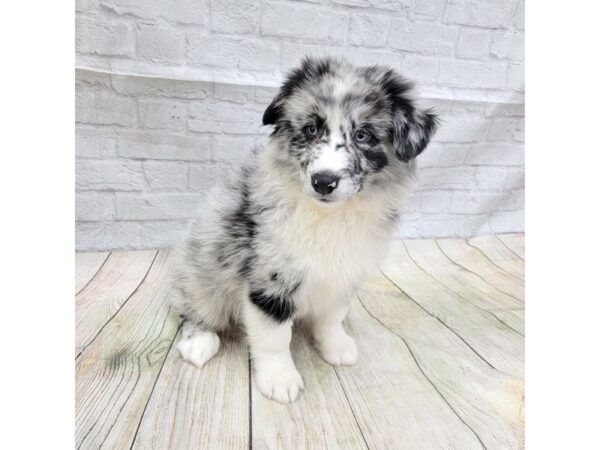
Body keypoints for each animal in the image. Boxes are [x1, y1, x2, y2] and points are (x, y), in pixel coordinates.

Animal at [171, 56, 438, 404]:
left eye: (363, 135)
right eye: (311, 129)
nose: (323, 181)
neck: (330, 216)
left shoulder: (344, 273)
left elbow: (332, 317)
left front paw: (336, 347)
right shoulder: (270, 279)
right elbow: (274, 337)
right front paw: (279, 379)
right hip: (202, 272)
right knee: (190, 308)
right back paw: (199, 342)